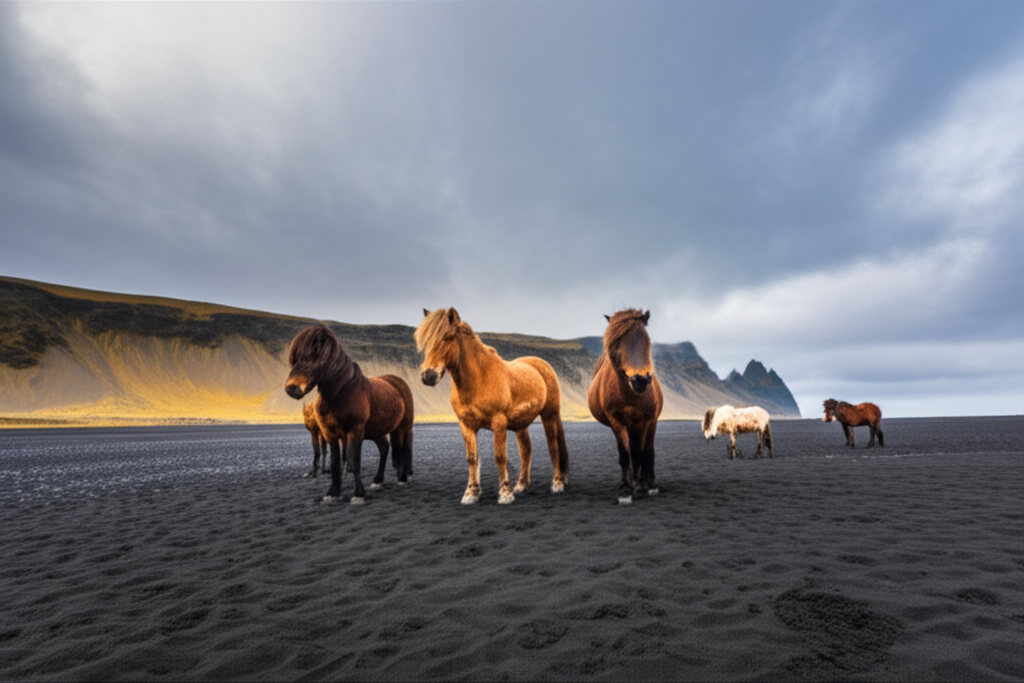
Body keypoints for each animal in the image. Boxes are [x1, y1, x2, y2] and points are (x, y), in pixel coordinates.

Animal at [285, 324, 414, 503]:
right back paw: (377, 480)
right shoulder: (330, 434)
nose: (292, 388)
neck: (340, 394)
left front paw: (358, 495)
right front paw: (332, 493)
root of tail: (398, 381)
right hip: (377, 431)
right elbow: (335, 465)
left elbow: (353, 464)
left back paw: (402, 478)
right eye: (294, 358)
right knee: (385, 447)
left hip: (403, 427)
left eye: (315, 356)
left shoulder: (355, 431)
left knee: (404, 449)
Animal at [415, 307, 569, 505]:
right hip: (521, 425)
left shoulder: (499, 422)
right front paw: (471, 493)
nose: (428, 376)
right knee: (526, 450)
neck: (479, 378)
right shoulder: (466, 425)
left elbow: (500, 457)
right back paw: (521, 485)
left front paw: (505, 493)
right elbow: (472, 458)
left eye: (447, 338)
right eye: (425, 341)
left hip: (549, 415)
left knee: (553, 446)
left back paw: (557, 483)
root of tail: (542, 365)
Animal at [587, 309, 664, 504]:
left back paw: (642, 482)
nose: (640, 380)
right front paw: (625, 490)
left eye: (646, 339)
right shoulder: (618, 423)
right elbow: (625, 455)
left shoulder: (650, 421)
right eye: (616, 343)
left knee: (640, 452)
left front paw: (651, 485)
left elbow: (647, 452)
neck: (632, 394)